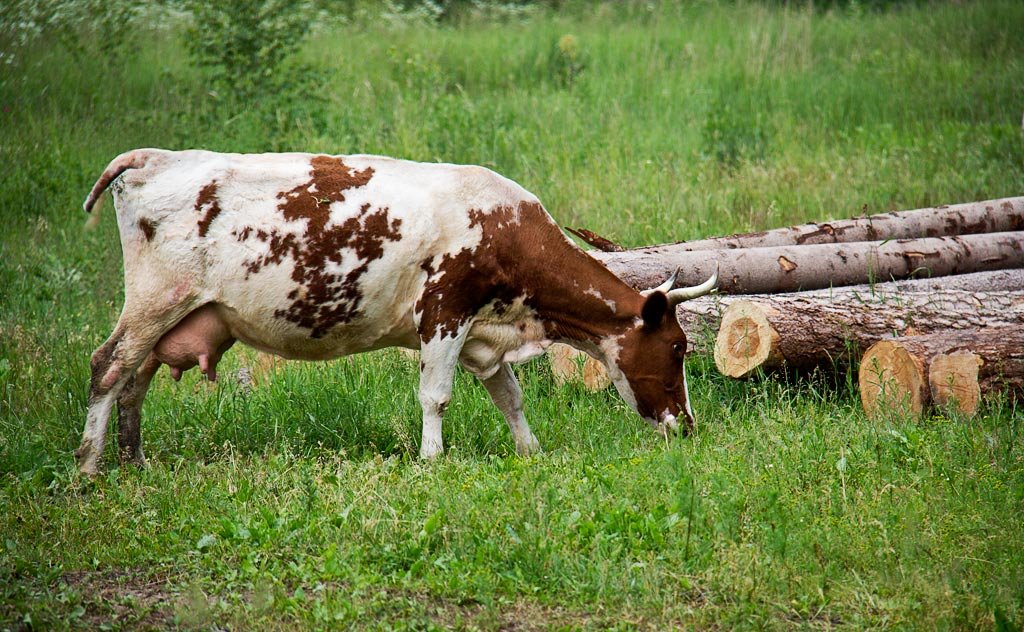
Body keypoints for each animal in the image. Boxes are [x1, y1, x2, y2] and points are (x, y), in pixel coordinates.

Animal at [74, 149, 720, 473]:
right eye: (679, 346)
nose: (687, 425)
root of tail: (152, 157)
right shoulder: (445, 312)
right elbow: (436, 396)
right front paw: (432, 460)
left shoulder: (483, 336)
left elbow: (510, 397)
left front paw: (531, 453)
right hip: (157, 300)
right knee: (108, 368)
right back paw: (88, 467)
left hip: (172, 316)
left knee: (135, 380)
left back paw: (133, 461)